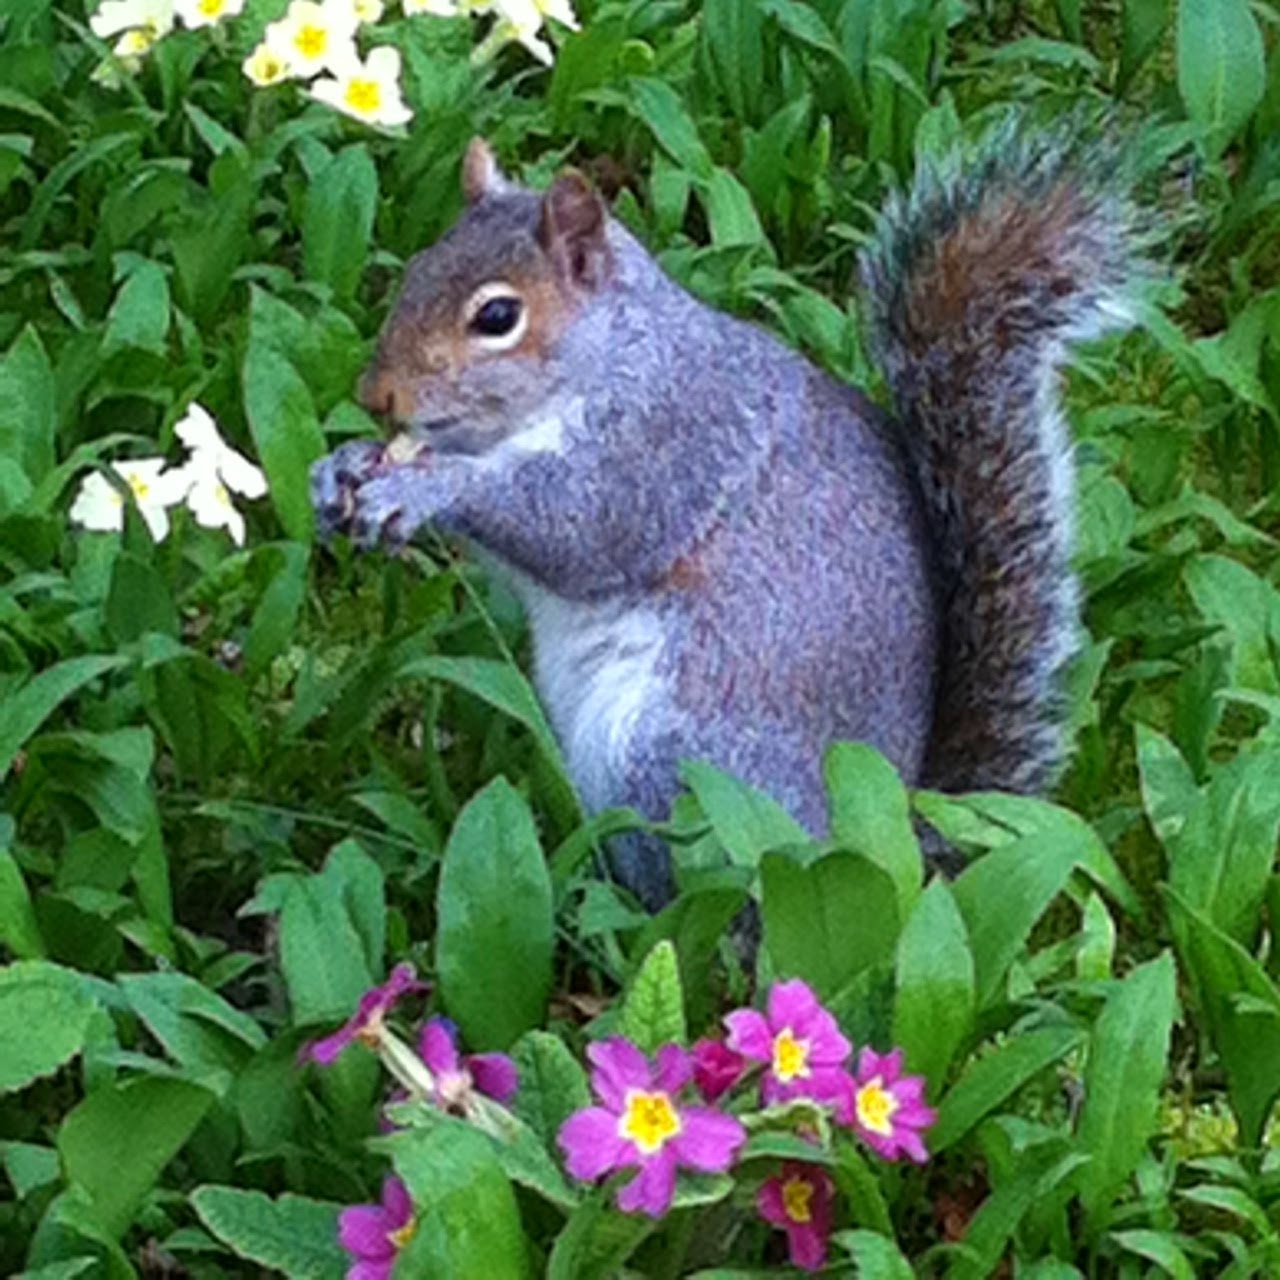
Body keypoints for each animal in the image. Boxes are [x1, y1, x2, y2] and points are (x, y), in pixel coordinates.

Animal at [312, 123, 1138, 908]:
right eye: (417, 268)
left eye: (497, 316)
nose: (375, 394)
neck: (607, 361)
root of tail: (898, 842)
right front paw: (344, 468)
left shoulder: (666, 449)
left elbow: (570, 527)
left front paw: (424, 488)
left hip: (678, 768)